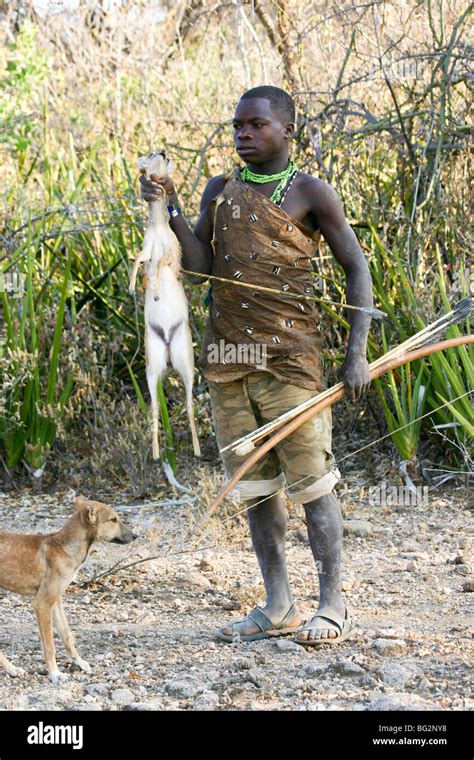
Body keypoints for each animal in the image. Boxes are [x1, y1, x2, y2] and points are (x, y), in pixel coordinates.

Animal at [0, 496, 136, 684]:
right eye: (113, 519)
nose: (136, 536)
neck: (65, 547)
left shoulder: (56, 601)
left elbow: (67, 636)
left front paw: (79, 662)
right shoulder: (41, 604)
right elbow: (50, 646)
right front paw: (55, 674)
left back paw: (12, 669)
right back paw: (12, 669)